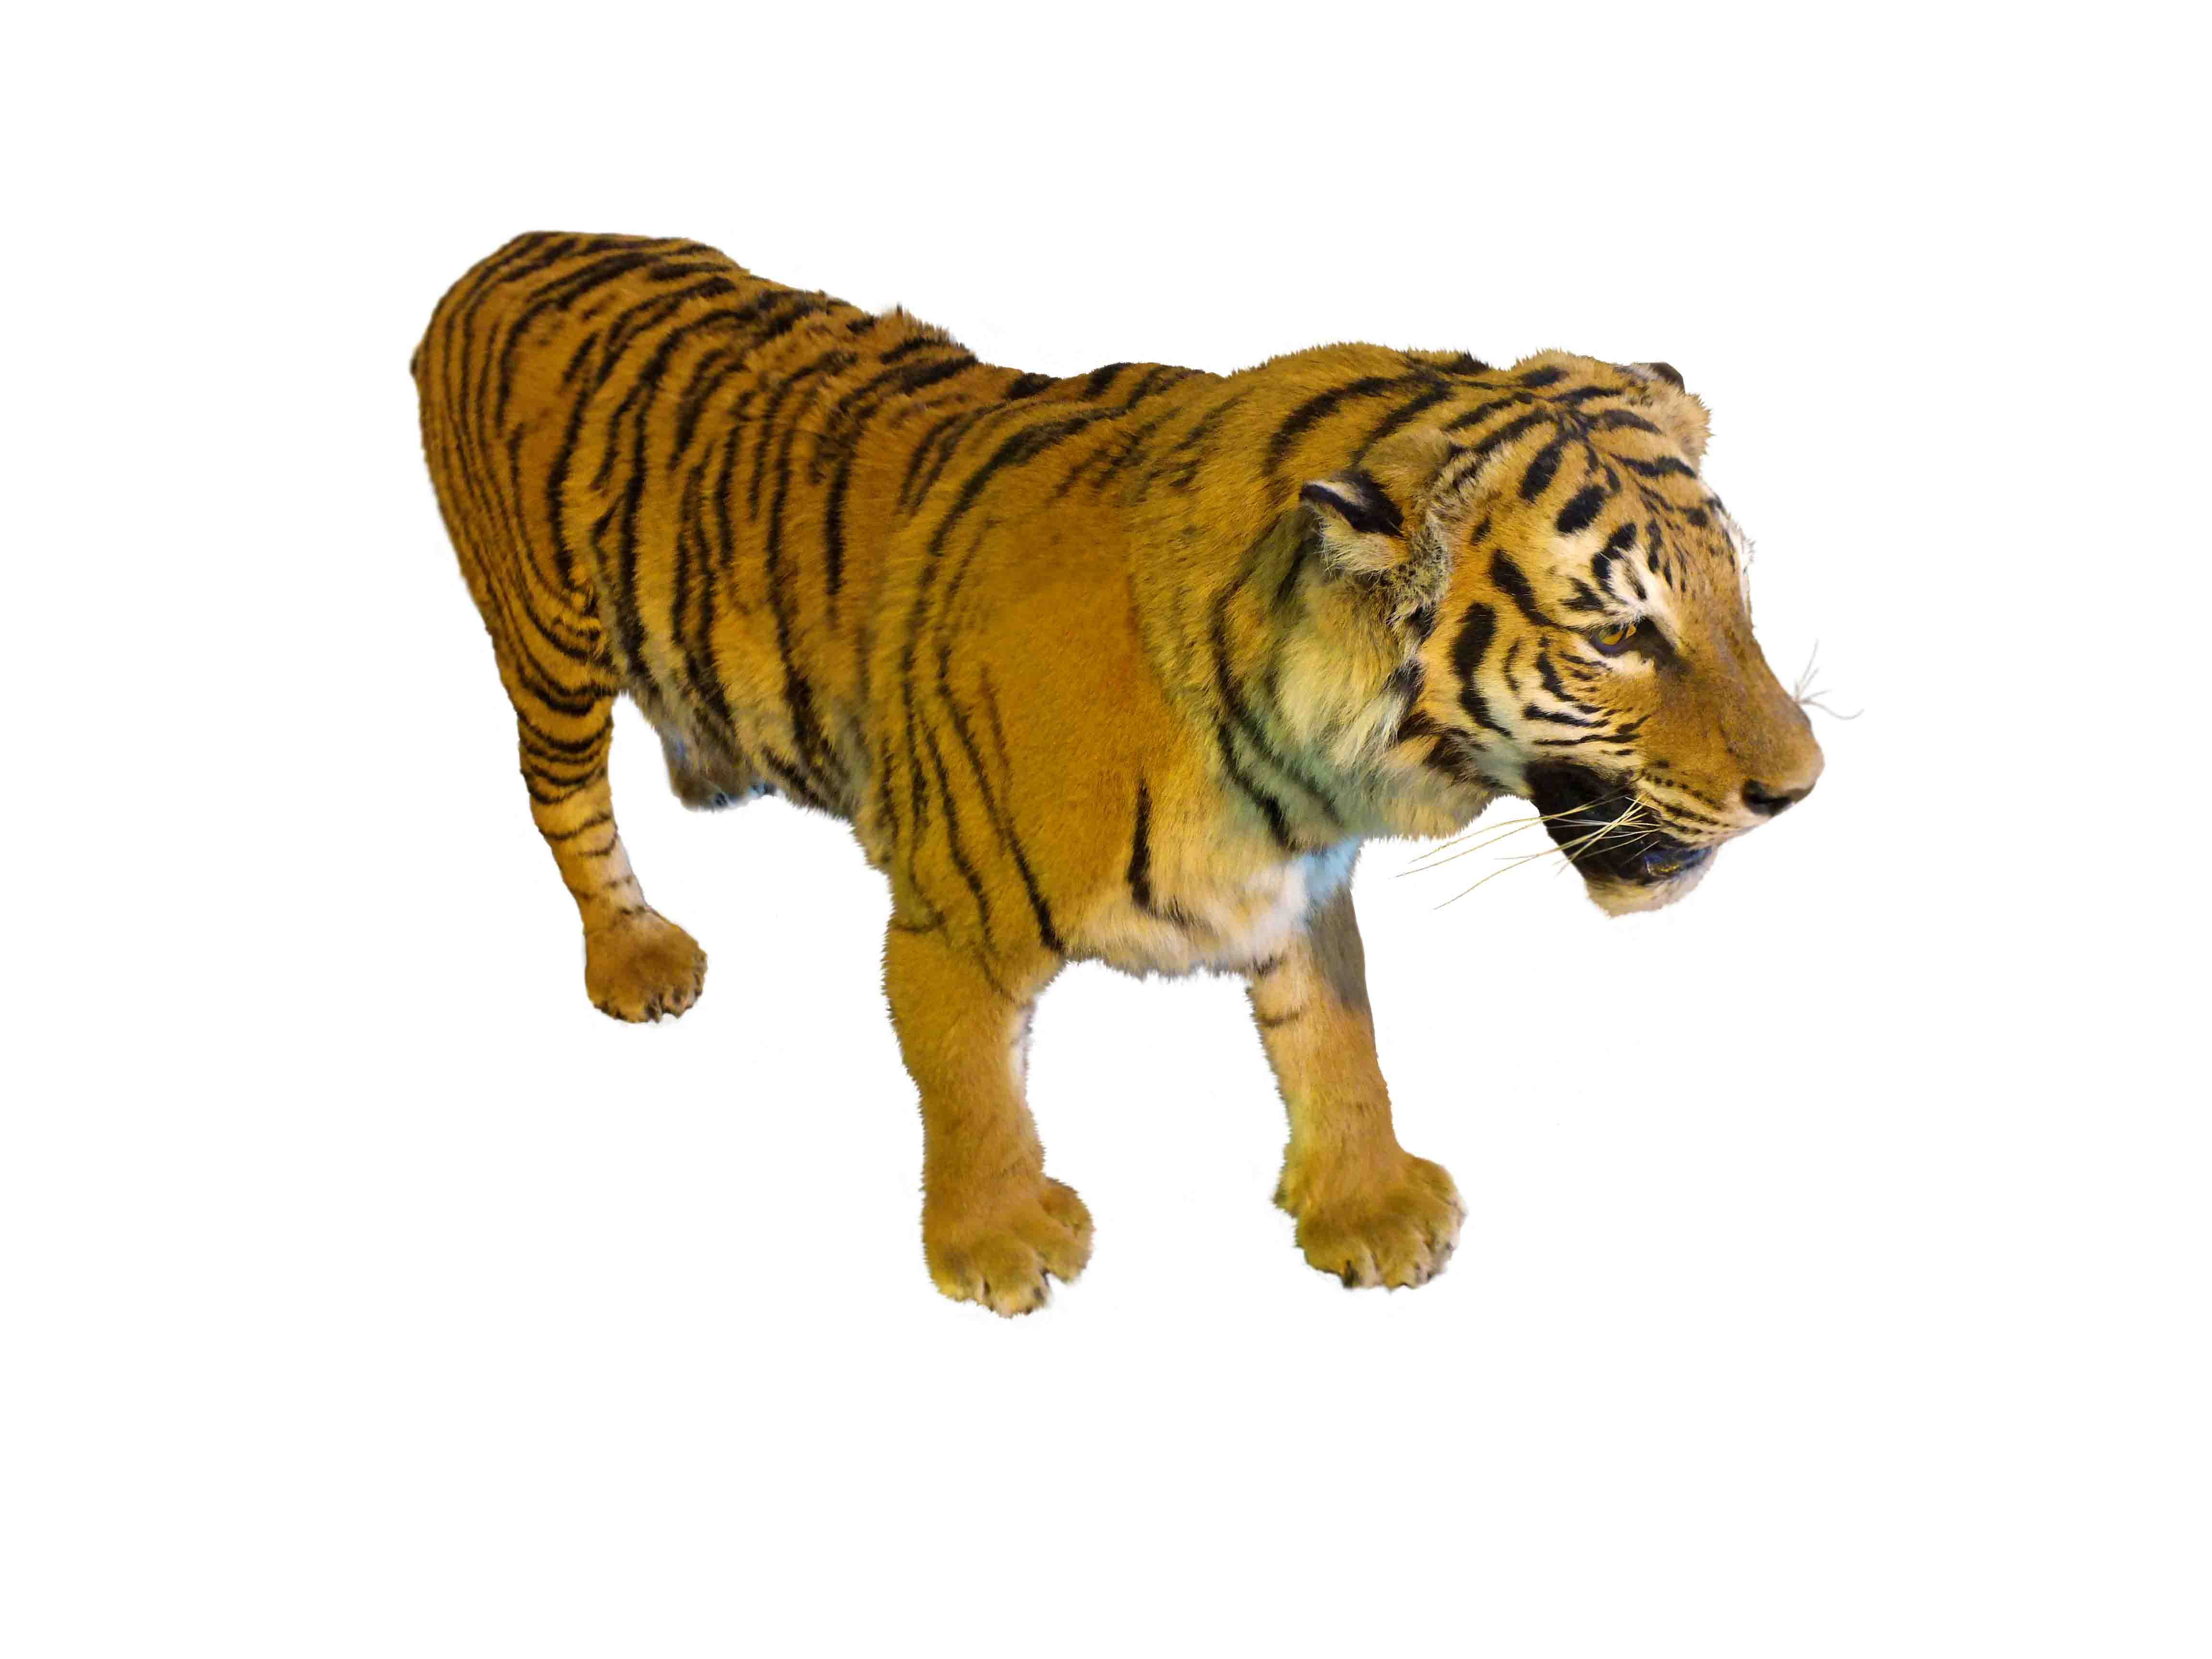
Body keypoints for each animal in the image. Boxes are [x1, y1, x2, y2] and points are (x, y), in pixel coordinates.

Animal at [414, 232, 1824, 1315]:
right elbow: (971, 1090)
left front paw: (1368, 1205)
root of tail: (501, 254)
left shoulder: (1297, 891)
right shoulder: (948, 922)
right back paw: (636, 955)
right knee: (565, 810)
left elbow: (1342, 1047)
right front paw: (996, 1242)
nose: (1801, 787)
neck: (1290, 770)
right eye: (1619, 633)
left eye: (1735, 598)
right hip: (548, 649)